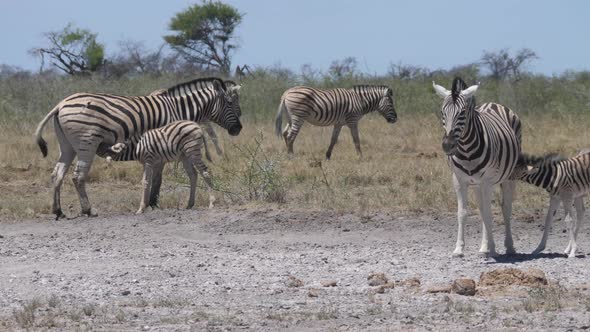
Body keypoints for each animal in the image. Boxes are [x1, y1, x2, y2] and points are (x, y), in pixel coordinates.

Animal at [34, 76, 243, 219]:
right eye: (230, 103)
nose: (238, 129)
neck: (178, 109)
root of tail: (60, 104)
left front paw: (151, 202)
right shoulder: (162, 142)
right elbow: (157, 178)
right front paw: (152, 202)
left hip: (67, 144)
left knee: (57, 174)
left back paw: (58, 211)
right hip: (87, 142)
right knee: (78, 176)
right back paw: (88, 210)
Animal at [434, 77, 524, 256]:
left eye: (462, 113)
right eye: (442, 113)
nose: (447, 145)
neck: (467, 150)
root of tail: (493, 104)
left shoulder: (487, 181)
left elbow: (489, 214)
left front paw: (493, 249)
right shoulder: (459, 180)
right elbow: (463, 213)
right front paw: (459, 249)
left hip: (508, 176)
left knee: (506, 208)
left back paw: (509, 246)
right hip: (476, 184)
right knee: (483, 209)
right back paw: (484, 247)